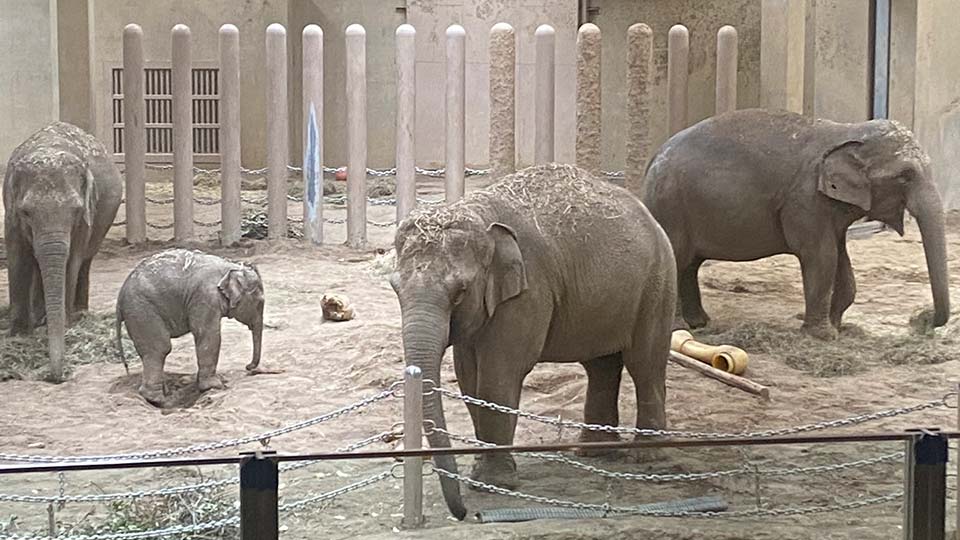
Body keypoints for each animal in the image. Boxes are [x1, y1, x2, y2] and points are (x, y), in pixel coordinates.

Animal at [2, 120, 123, 382]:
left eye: (75, 211)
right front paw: (20, 333)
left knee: (86, 261)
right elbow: (18, 258)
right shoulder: (11, 212)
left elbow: (72, 260)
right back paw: (40, 317)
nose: (56, 377)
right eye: (26, 212)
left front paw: (63, 323)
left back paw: (78, 313)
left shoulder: (86, 214)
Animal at [116, 249, 266, 404]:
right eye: (260, 302)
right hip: (142, 310)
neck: (230, 266)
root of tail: (119, 300)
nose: (248, 367)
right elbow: (209, 336)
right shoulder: (205, 298)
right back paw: (161, 400)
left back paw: (165, 393)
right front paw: (215, 386)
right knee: (160, 349)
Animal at [388, 163, 676, 520]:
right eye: (395, 288)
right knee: (602, 366)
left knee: (645, 364)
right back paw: (594, 454)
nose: (464, 513)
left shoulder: (527, 291)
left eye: (460, 292)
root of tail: (648, 214)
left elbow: (497, 379)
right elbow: (470, 380)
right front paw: (480, 477)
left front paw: (494, 484)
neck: (479, 215)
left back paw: (648, 458)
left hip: (657, 284)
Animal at [640, 107, 948, 340]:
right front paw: (823, 335)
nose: (922, 320)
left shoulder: (829, 208)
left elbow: (840, 258)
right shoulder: (805, 201)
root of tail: (653, 158)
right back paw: (678, 328)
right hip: (670, 204)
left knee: (690, 264)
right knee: (678, 258)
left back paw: (700, 323)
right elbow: (821, 257)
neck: (847, 131)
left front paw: (837, 327)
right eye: (906, 176)